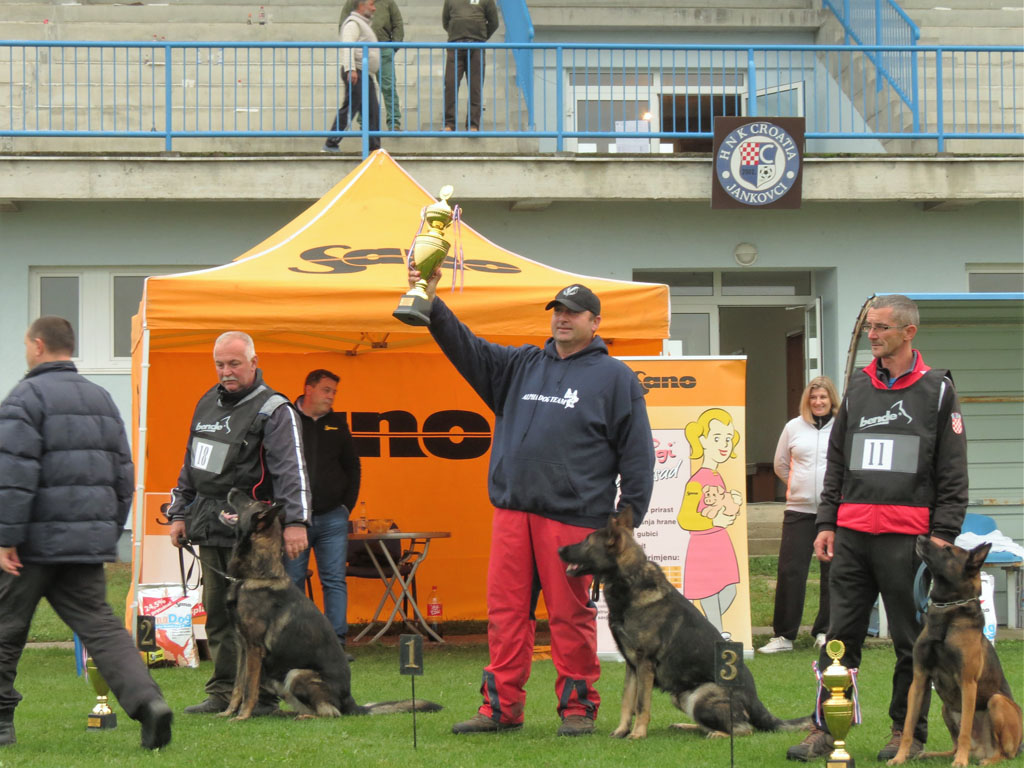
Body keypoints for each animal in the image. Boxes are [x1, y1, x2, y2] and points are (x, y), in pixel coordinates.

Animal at [222, 489, 442, 724]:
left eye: (249, 503)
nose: (232, 490)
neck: (255, 575)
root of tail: (350, 702)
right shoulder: (243, 647)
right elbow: (237, 686)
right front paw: (227, 712)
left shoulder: (254, 648)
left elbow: (249, 688)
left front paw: (242, 716)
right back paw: (286, 712)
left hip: (297, 673)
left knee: (330, 713)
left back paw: (304, 716)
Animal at [561, 512, 806, 741]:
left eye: (586, 541)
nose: (560, 549)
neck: (631, 579)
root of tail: (755, 700)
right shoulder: (632, 666)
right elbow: (627, 701)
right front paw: (621, 731)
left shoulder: (644, 663)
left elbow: (641, 704)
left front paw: (638, 733)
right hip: (681, 696)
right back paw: (686, 726)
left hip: (701, 696)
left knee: (744, 729)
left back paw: (717, 733)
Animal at [888, 536, 1024, 765]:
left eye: (948, 549)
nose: (921, 537)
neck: (949, 611)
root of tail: (982, 750)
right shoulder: (919, 679)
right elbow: (908, 726)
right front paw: (899, 757)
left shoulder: (967, 683)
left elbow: (965, 732)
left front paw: (960, 762)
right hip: (946, 708)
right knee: (954, 747)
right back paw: (931, 754)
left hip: (996, 702)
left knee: (1004, 753)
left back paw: (985, 760)